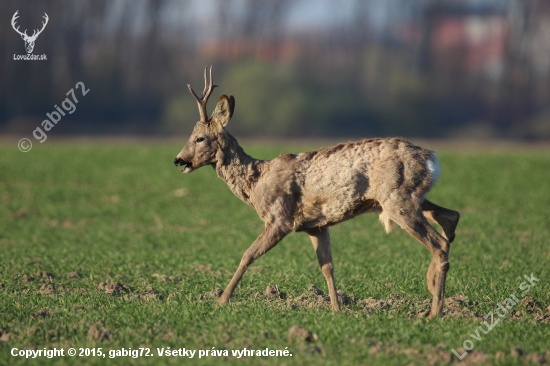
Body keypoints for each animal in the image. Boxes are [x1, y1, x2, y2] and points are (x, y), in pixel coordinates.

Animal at [175, 66, 460, 318]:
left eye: (199, 138)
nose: (178, 160)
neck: (255, 182)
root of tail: (431, 158)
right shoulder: (316, 226)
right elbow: (327, 266)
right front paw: (336, 309)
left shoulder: (280, 219)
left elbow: (248, 254)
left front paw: (222, 299)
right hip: (403, 198)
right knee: (451, 218)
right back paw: (433, 282)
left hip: (397, 199)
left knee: (439, 243)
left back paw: (434, 311)